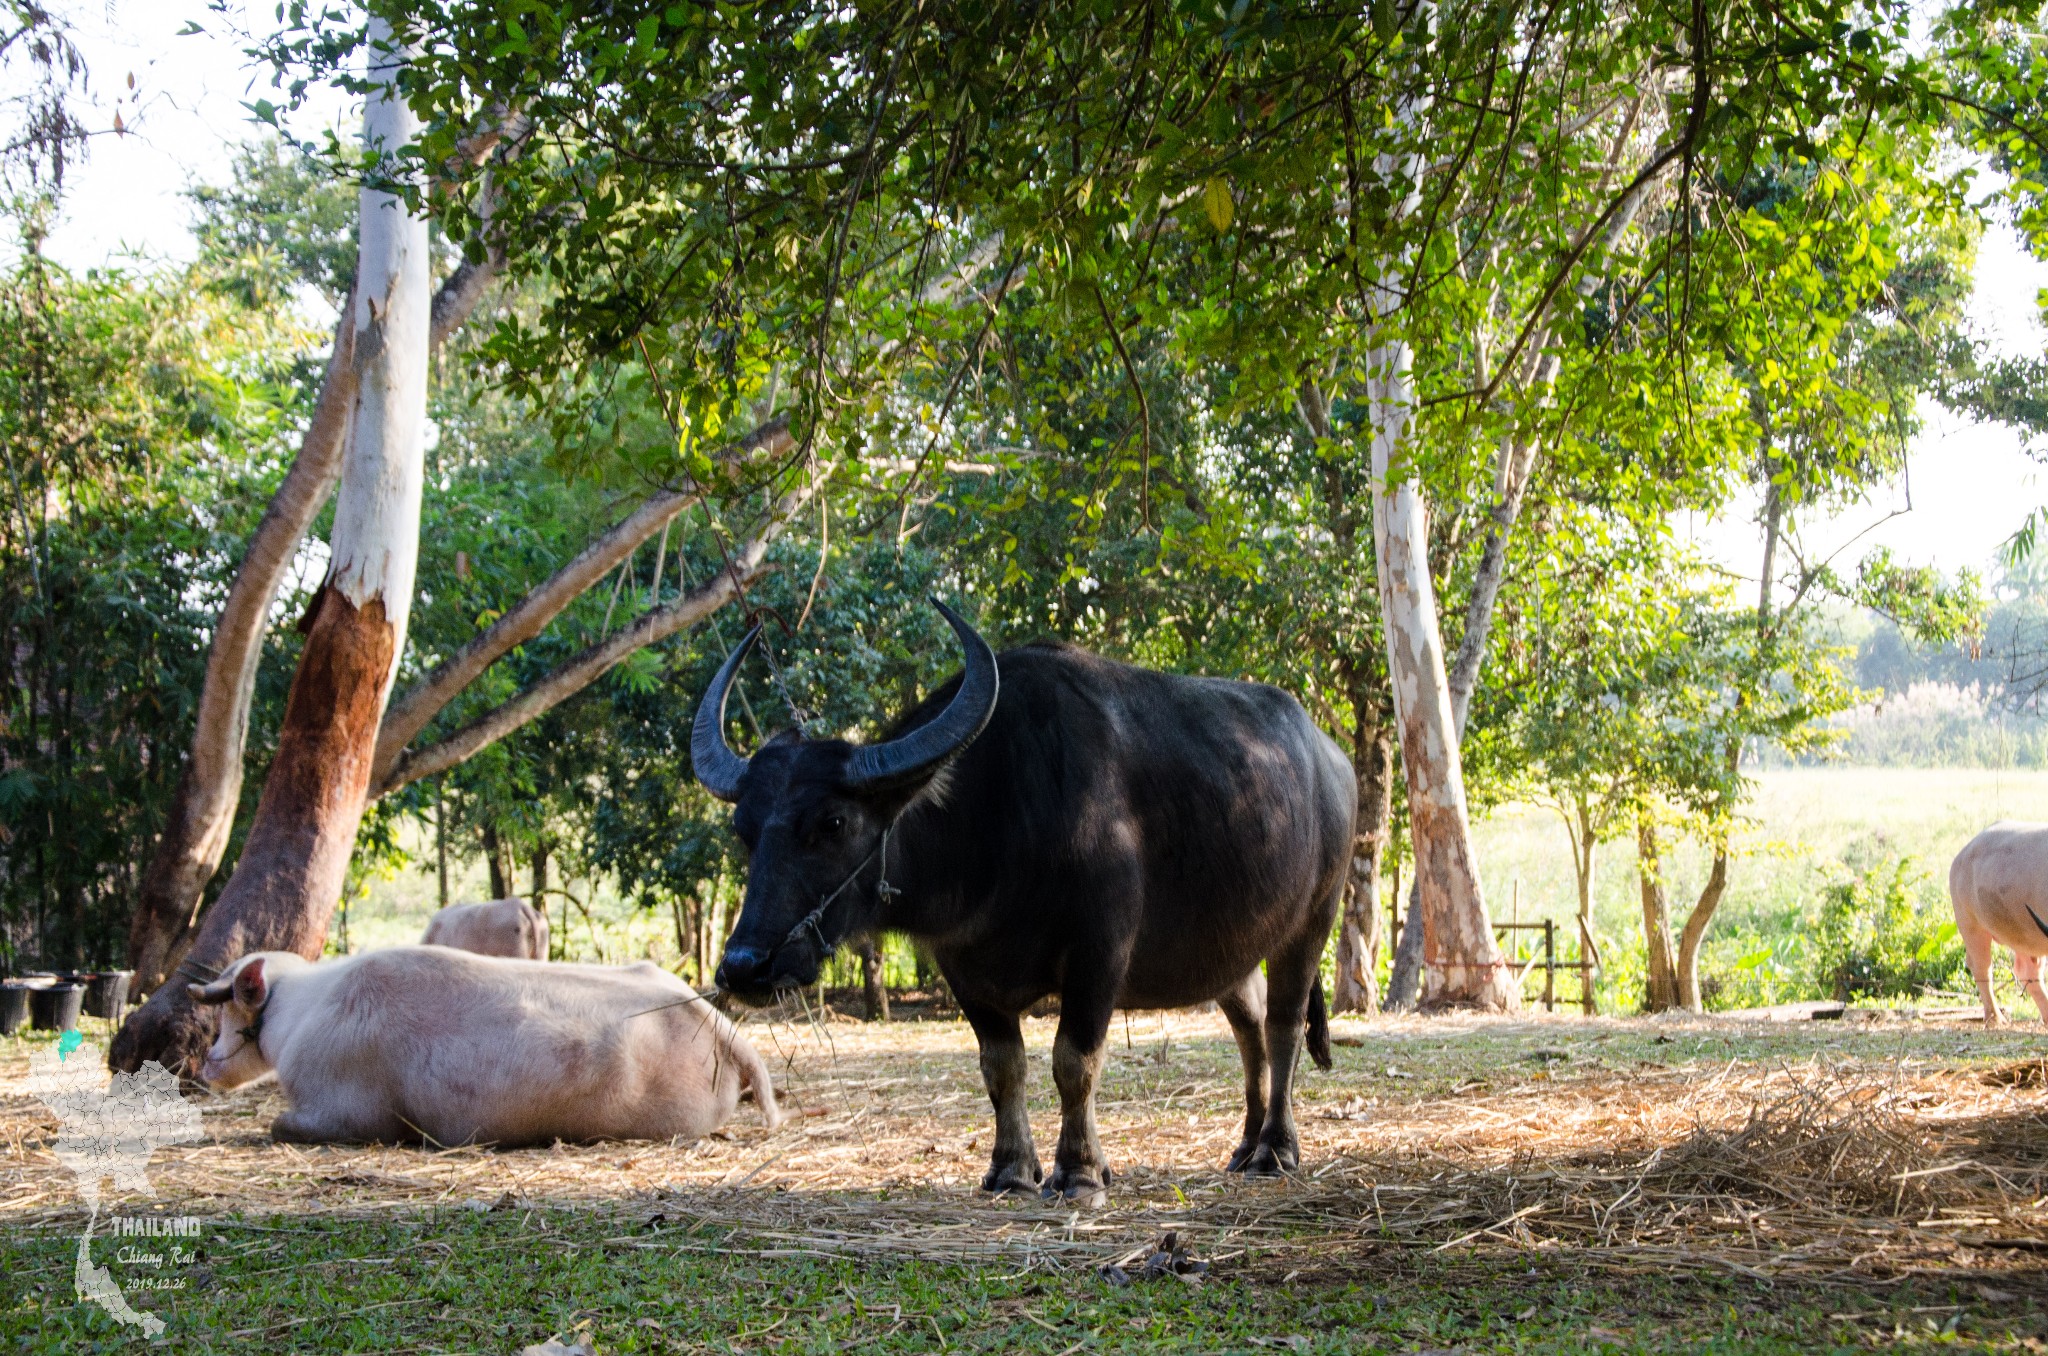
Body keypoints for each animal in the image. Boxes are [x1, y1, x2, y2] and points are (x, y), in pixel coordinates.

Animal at [188, 950, 778, 1155]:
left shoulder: (344, 1111)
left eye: (228, 1014)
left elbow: (278, 1127)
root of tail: (726, 1031)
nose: (204, 1066)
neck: (301, 1012)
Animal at [696, 602, 1351, 1204]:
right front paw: (1012, 1169)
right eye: (744, 830)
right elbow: (1001, 1066)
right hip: (1230, 950)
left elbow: (1073, 1062)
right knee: (1249, 1025)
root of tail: (1333, 759)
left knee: (1283, 1026)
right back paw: (1244, 1143)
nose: (745, 966)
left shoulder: (1099, 954)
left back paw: (1275, 1149)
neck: (999, 816)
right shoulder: (963, 968)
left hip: (1312, 923)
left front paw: (1080, 1172)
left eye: (833, 822)